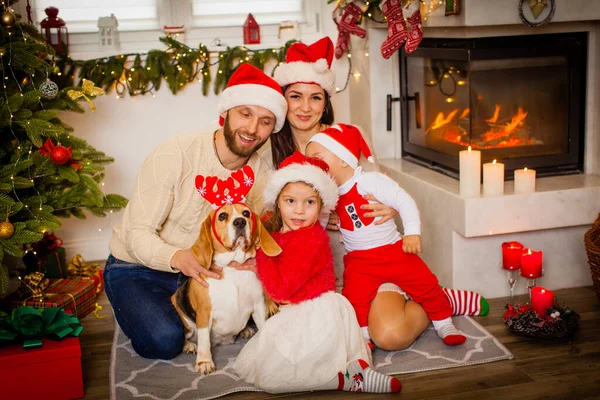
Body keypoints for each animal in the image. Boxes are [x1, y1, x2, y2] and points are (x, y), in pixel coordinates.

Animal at [170, 203, 280, 376]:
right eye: (222, 216)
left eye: (246, 213)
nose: (240, 222)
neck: (233, 269)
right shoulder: (204, 313)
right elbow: (204, 341)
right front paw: (204, 362)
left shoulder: (258, 307)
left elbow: (263, 328)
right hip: (185, 319)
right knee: (187, 336)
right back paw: (189, 345)